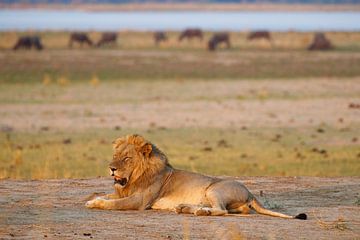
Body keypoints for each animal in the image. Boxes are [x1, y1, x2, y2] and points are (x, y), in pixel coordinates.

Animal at [86, 135, 306, 219]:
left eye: (127, 158)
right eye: (115, 156)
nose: (111, 168)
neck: (134, 178)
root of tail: (250, 193)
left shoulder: (140, 200)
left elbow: (113, 204)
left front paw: (95, 203)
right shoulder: (126, 192)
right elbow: (108, 196)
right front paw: (93, 198)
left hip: (214, 189)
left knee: (222, 211)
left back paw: (199, 212)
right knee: (231, 210)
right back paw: (184, 208)